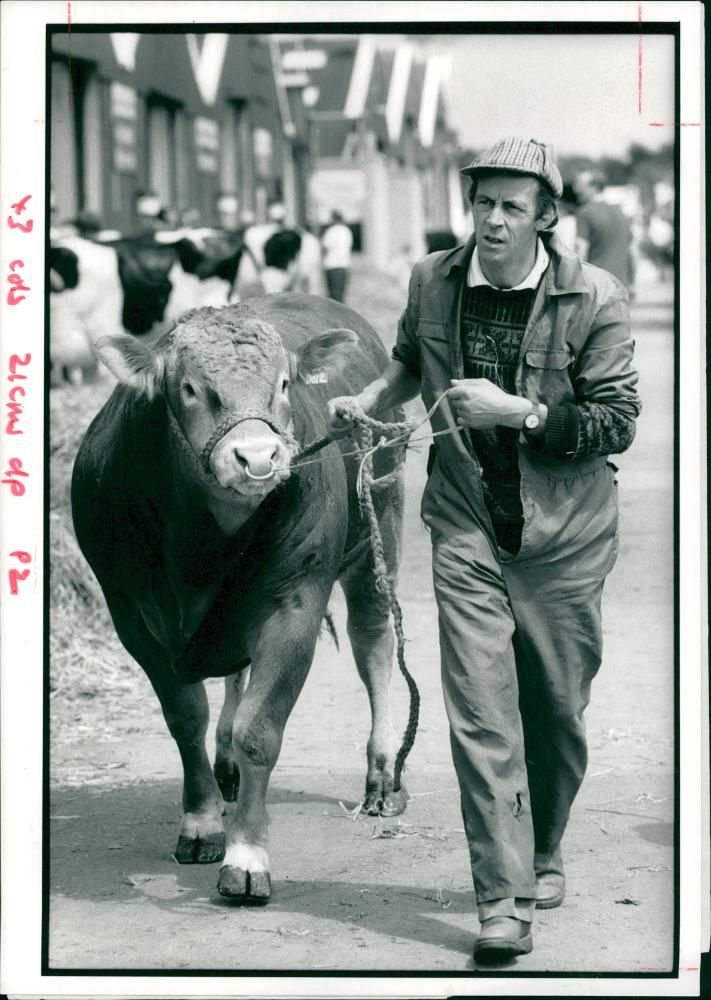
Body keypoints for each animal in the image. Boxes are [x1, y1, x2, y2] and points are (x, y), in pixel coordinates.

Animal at [71, 292, 408, 904]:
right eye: (189, 388)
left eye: (283, 383)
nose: (258, 457)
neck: (202, 546)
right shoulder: (130, 614)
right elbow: (186, 717)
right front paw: (201, 821)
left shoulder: (293, 605)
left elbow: (260, 729)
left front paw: (246, 856)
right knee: (233, 679)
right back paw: (224, 764)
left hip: (382, 531)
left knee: (373, 645)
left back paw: (379, 774)